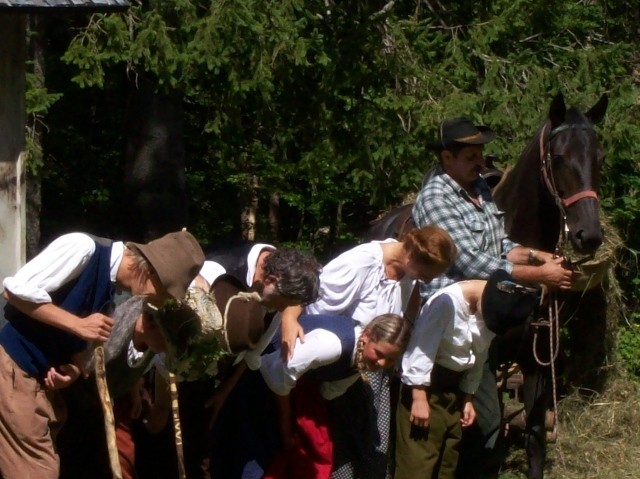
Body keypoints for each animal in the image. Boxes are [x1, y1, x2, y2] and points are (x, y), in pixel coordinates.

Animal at [368, 94, 608, 479]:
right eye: (559, 157)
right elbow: (487, 440)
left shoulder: (536, 363)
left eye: (599, 157)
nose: (589, 236)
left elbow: (535, 437)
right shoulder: (486, 361)